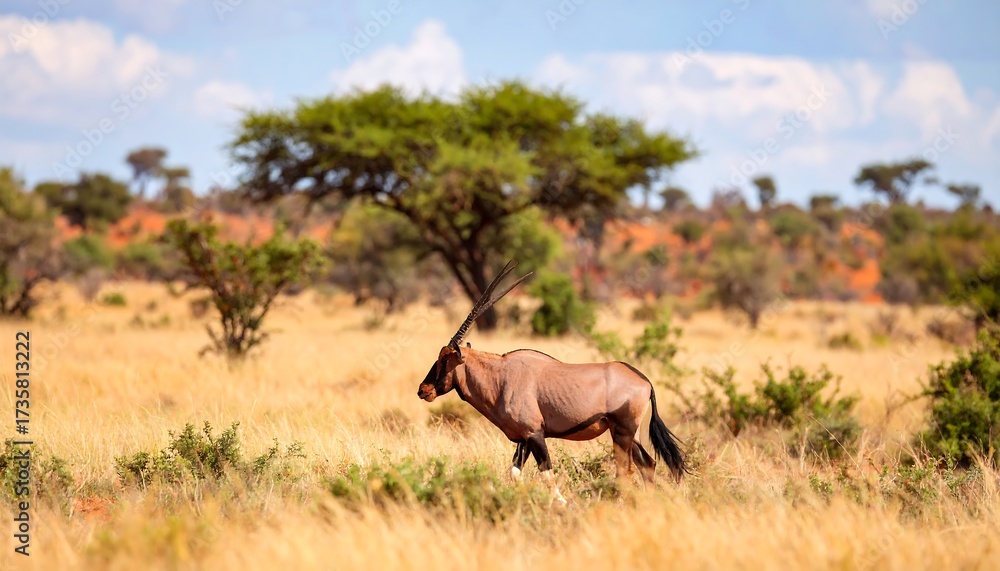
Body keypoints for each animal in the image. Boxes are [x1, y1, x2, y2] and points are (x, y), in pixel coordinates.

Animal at [417, 261, 686, 504]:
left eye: (445, 359)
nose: (423, 390)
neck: (500, 376)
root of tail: (644, 380)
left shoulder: (535, 434)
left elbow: (547, 475)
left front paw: (562, 505)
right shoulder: (523, 439)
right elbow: (515, 474)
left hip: (622, 432)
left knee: (625, 471)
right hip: (629, 434)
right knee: (648, 464)